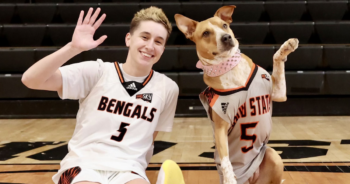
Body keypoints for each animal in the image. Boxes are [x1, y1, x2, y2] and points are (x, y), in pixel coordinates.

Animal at [174, 5, 298, 184]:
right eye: (206, 33)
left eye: (225, 25)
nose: (226, 37)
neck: (229, 67)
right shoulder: (221, 127)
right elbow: (225, 160)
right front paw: (229, 177)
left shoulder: (278, 91)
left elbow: (277, 59)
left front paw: (286, 47)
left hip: (272, 155)